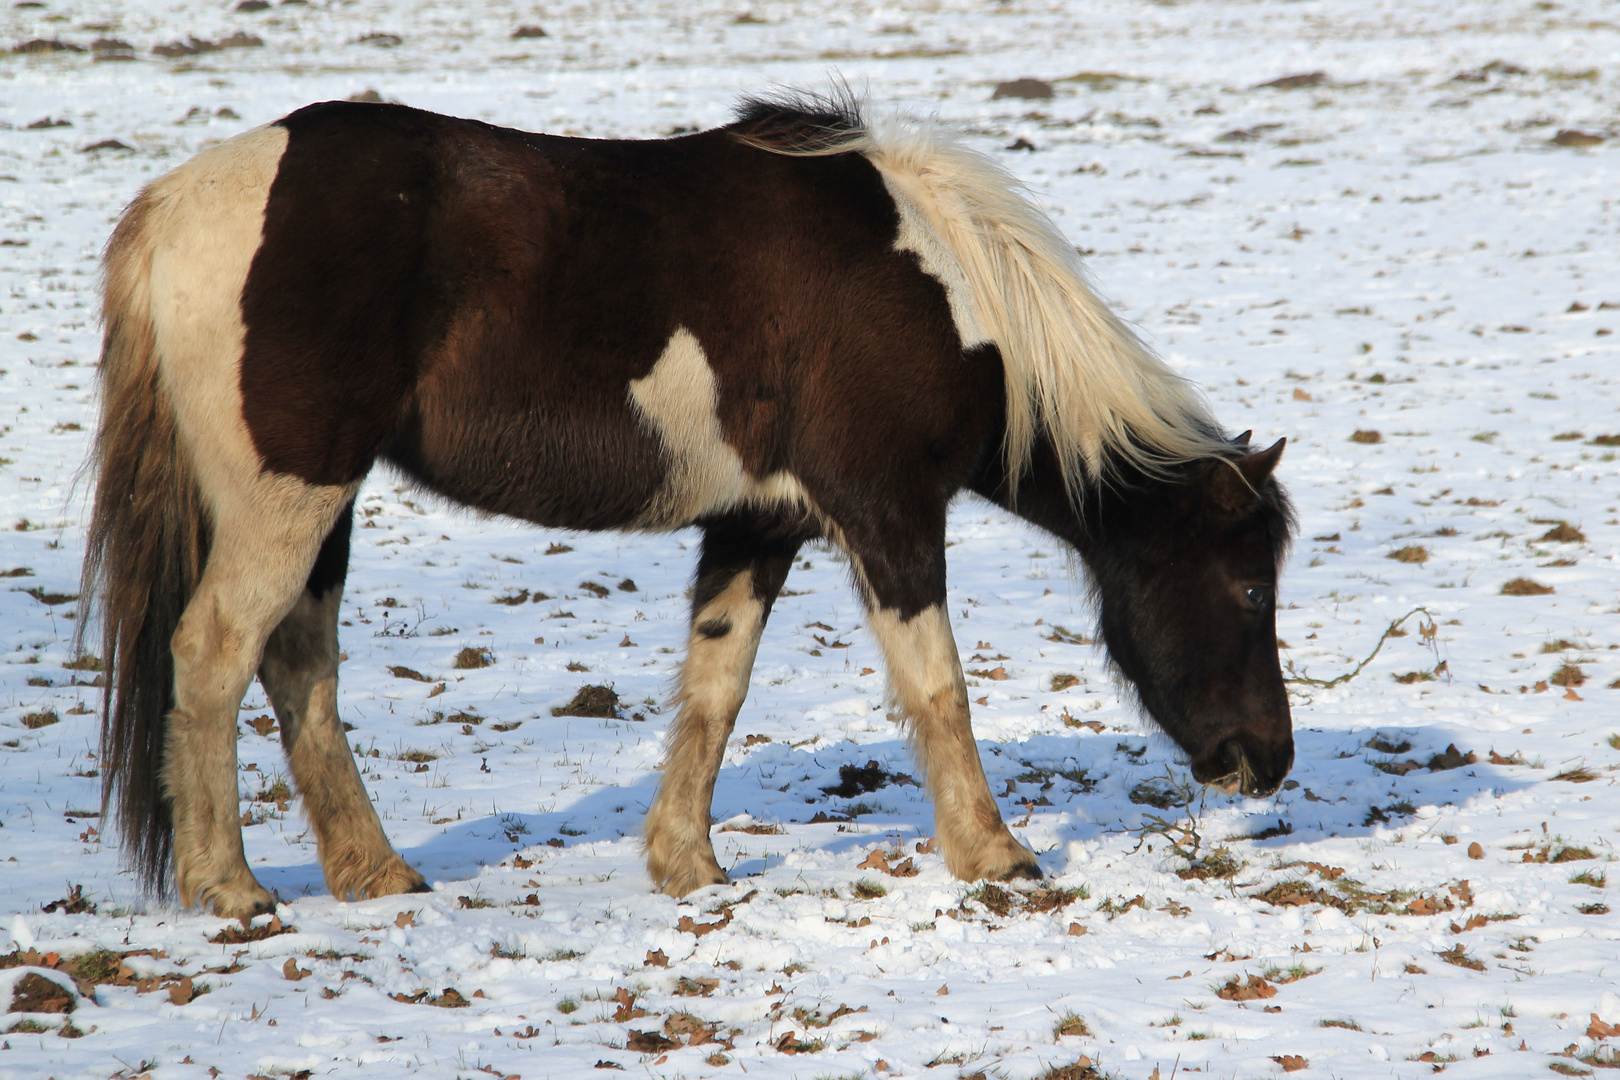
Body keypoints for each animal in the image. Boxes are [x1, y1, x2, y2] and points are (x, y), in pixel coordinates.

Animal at [76, 90, 1296, 919]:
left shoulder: (760, 527)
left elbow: (717, 688)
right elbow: (938, 688)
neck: (942, 283)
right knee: (215, 653)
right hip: (291, 495)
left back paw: (373, 873)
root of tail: (179, 203)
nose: (1268, 761)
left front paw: (685, 863)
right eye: (1248, 586)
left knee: (298, 669)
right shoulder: (889, 514)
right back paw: (231, 888)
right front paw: (994, 855)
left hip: (320, 507)